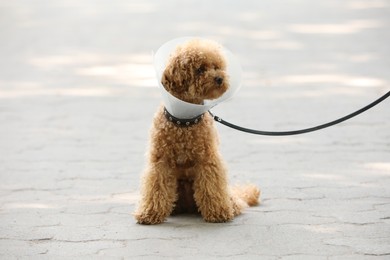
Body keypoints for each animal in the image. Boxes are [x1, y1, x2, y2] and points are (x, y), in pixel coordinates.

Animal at [136, 38, 260, 223]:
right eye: (200, 69)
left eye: (216, 66)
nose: (219, 78)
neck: (184, 121)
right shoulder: (160, 161)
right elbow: (156, 187)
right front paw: (150, 213)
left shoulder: (207, 160)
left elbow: (211, 185)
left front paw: (217, 212)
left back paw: (229, 207)